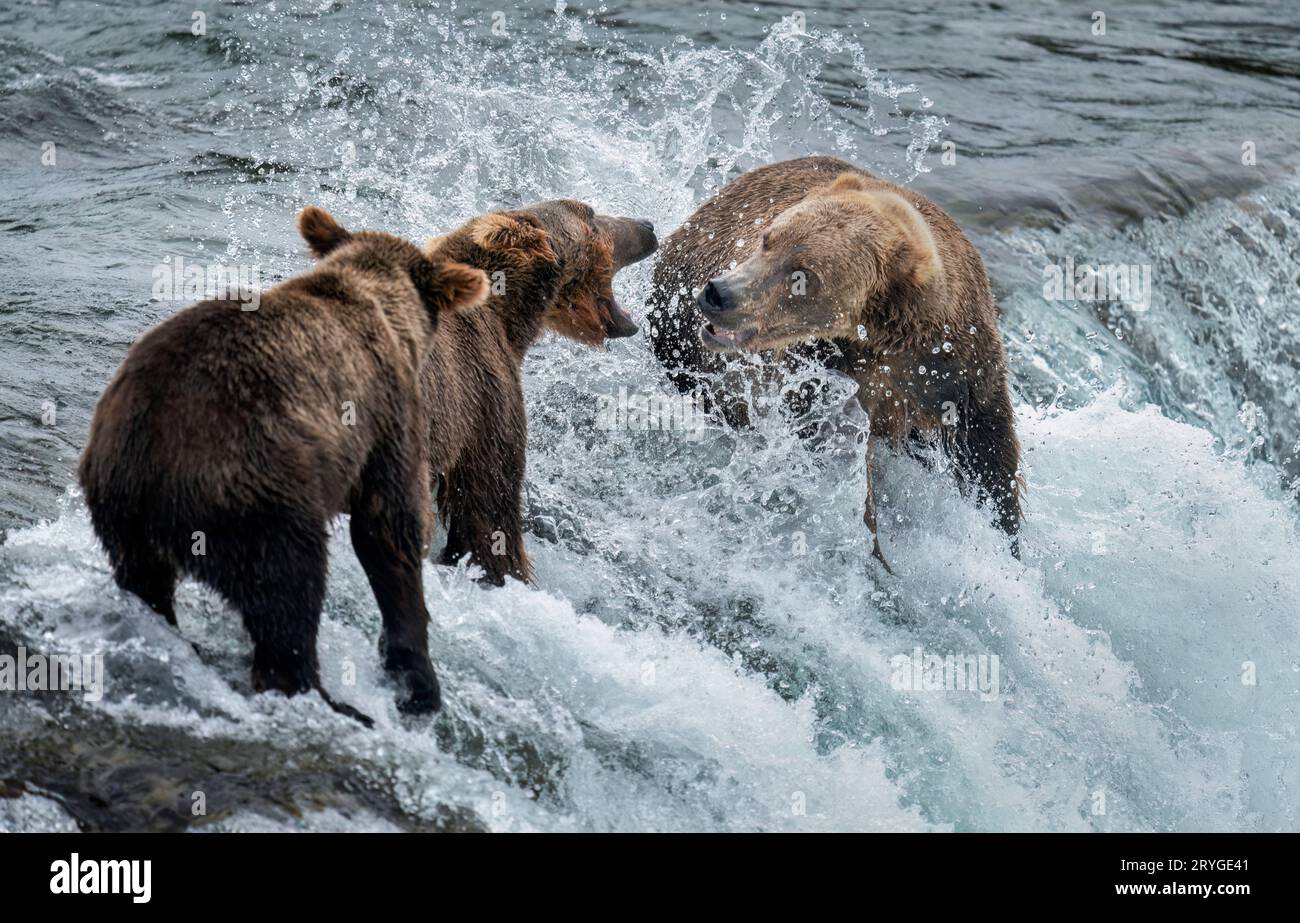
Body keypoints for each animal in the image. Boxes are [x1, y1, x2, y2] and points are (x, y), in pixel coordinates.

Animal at [78, 207, 490, 724]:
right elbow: (389, 528)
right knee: (289, 588)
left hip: (119, 507)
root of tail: (145, 458)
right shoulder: (386, 414)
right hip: (255, 486)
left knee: (146, 582)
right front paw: (419, 679)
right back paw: (334, 700)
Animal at [646, 156, 1022, 568]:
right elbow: (833, 448)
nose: (718, 293)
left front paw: (1007, 541)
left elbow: (987, 455)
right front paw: (873, 551)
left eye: (802, 275)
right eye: (768, 238)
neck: (882, 335)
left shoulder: (957, 366)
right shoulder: (823, 369)